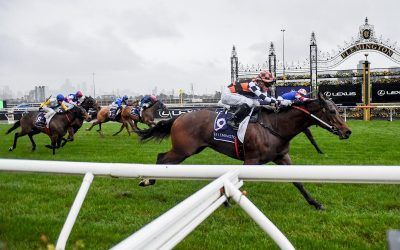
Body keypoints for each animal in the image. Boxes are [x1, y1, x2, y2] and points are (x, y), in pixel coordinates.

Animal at [139, 93, 352, 210]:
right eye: (332, 111)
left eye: (338, 110)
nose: (347, 132)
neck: (275, 126)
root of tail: (179, 117)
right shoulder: (251, 160)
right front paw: (225, 201)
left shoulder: (282, 157)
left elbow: (298, 182)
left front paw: (315, 203)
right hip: (183, 150)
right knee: (161, 157)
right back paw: (148, 180)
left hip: (190, 150)